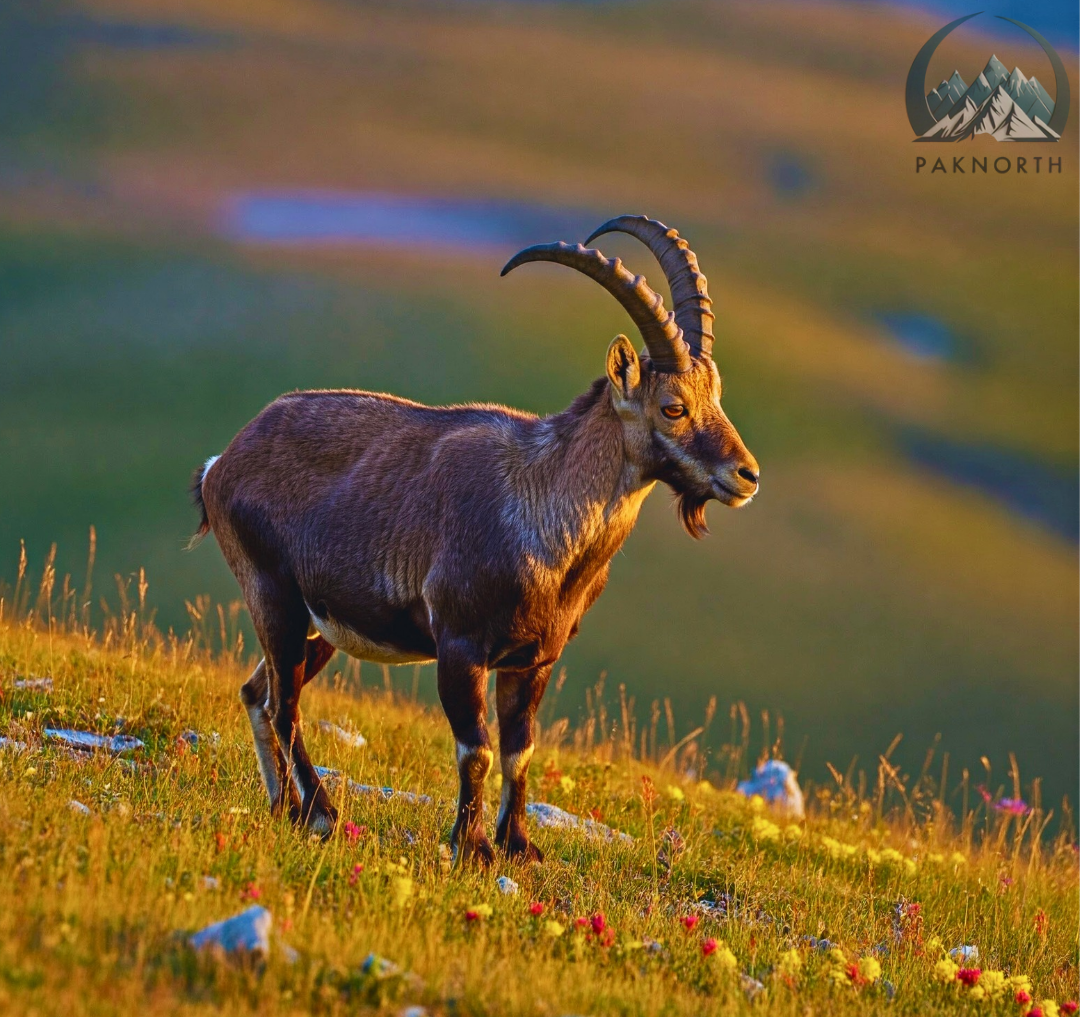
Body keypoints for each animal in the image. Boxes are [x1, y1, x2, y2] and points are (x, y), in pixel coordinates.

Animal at [191, 215, 760, 863]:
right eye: (672, 407)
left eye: (715, 395)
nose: (747, 474)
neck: (544, 517)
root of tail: (221, 463)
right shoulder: (460, 645)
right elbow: (476, 749)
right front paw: (473, 846)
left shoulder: (534, 659)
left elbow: (520, 749)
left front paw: (519, 844)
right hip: (273, 594)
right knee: (284, 706)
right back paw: (321, 814)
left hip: (319, 626)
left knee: (258, 694)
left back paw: (285, 808)